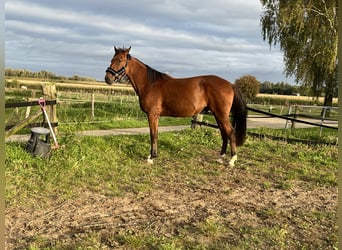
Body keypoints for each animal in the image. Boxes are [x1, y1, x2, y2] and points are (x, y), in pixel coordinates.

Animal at [104, 46, 246, 166]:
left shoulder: (152, 115)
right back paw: (220, 157)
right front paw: (153, 155)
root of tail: (230, 84)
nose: (107, 78)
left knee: (230, 133)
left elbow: (153, 134)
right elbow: (155, 134)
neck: (150, 84)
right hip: (217, 115)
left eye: (120, 60)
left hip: (221, 115)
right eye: (112, 59)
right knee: (224, 134)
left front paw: (151, 157)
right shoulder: (155, 116)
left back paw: (232, 160)